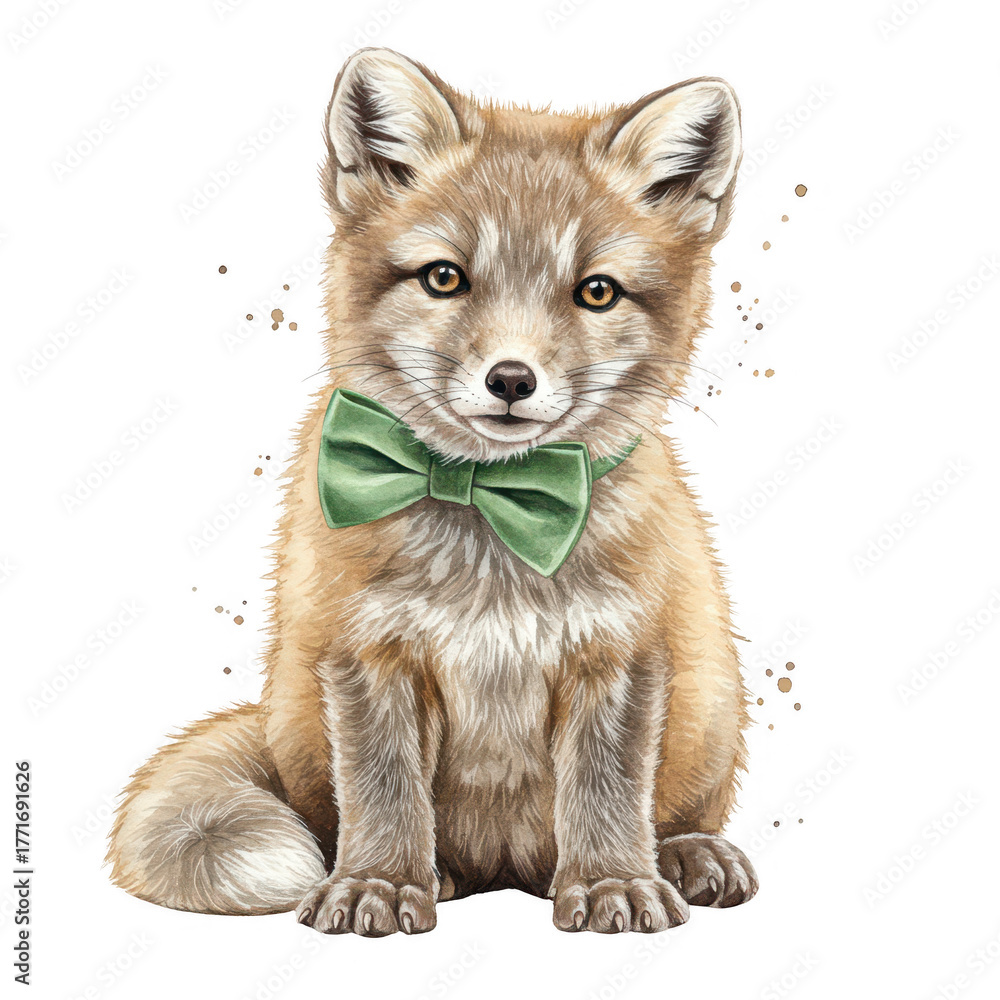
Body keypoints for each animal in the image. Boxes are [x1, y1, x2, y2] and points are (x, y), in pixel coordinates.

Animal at [107, 47, 757, 936]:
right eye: (445, 278)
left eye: (596, 291)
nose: (512, 380)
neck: (494, 520)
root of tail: (507, 872)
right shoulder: (366, 652)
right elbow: (384, 793)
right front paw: (378, 883)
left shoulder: (618, 654)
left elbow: (607, 793)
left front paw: (613, 883)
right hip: (301, 724)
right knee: (335, 821)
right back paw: (430, 874)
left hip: (711, 706)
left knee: (678, 812)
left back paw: (688, 855)